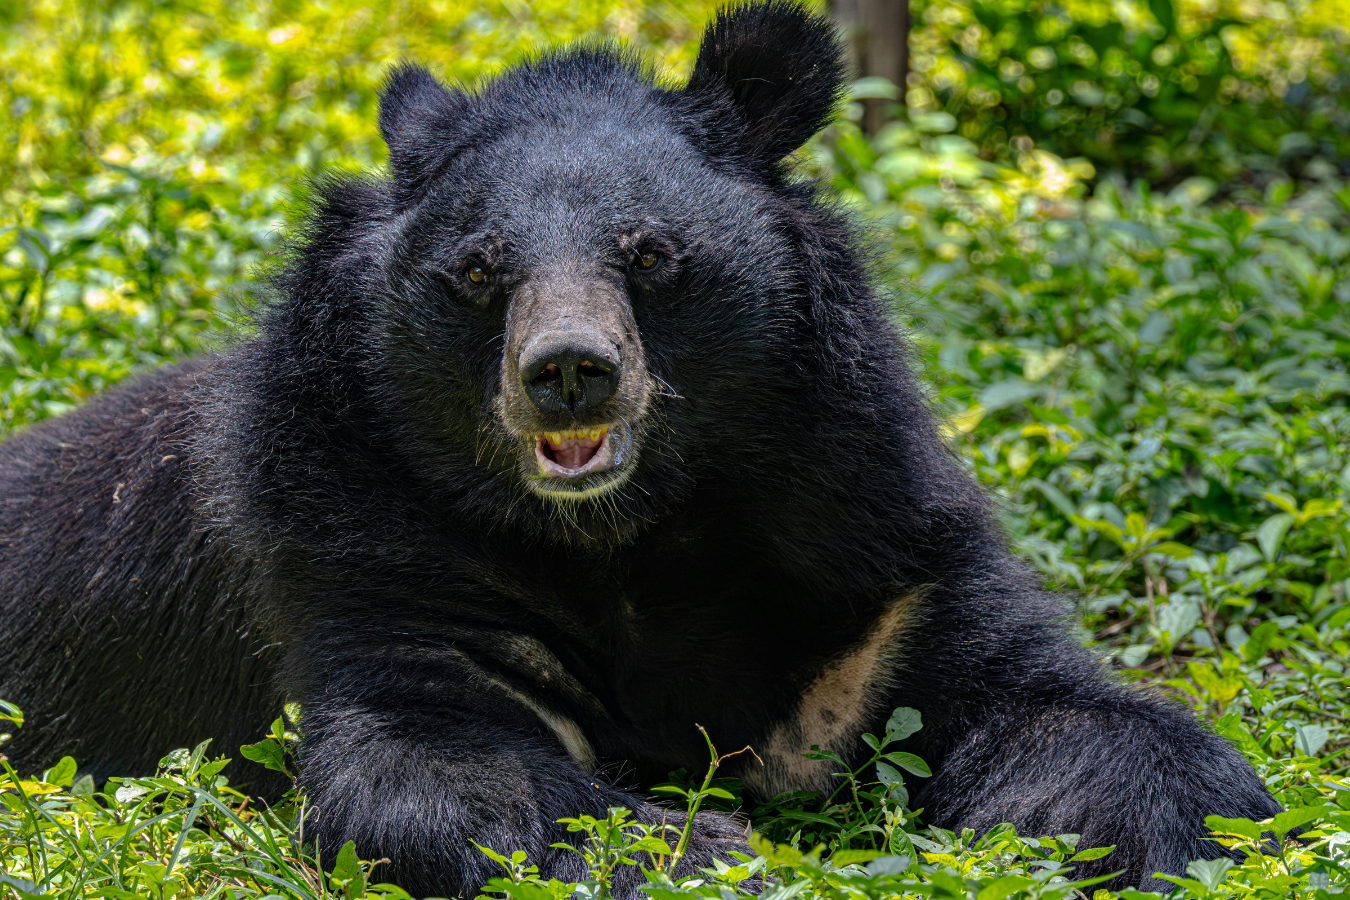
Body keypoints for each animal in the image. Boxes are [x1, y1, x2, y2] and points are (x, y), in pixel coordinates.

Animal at [0, 1, 1281, 896]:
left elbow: (1061, 708)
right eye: (479, 270)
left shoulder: (868, 542)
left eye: (651, 254)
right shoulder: (366, 551)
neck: (629, 535)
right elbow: (434, 772)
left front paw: (1187, 834)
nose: (568, 369)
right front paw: (710, 853)